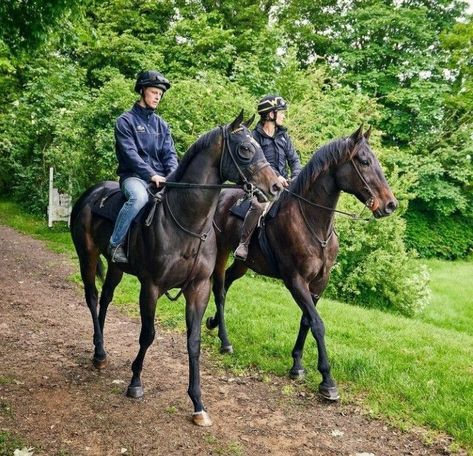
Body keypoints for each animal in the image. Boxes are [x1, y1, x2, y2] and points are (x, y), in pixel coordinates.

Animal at [68, 112, 282, 426]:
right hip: (88, 256)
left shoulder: (198, 289)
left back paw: (101, 348)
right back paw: (98, 351)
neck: (186, 223)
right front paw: (135, 383)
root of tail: (91, 194)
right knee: (92, 297)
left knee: (105, 299)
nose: (277, 186)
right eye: (245, 148)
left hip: (116, 268)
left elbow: (193, 342)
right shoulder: (151, 287)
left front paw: (198, 404)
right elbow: (148, 334)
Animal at [208, 124, 396, 400]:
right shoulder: (295, 281)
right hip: (222, 252)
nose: (390, 204)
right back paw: (224, 340)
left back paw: (212, 322)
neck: (313, 224)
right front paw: (327, 380)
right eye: (363, 161)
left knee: (228, 282)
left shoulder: (318, 284)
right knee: (219, 288)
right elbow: (317, 324)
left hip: (244, 263)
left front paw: (297, 365)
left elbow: (306, 320)